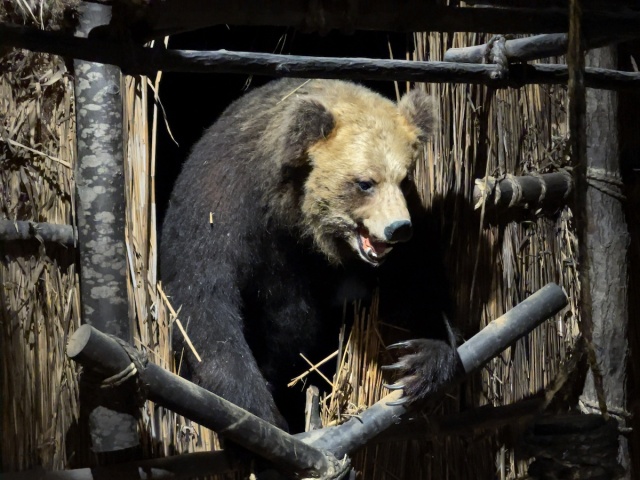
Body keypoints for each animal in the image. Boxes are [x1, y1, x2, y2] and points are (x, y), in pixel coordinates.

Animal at [161, 79, 460, 432]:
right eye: (364, 183)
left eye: (404, 178)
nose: (398, 229)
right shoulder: (225, 206)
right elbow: (202, 304)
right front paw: (262, 412)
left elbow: (422, 279)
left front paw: (418, 362)